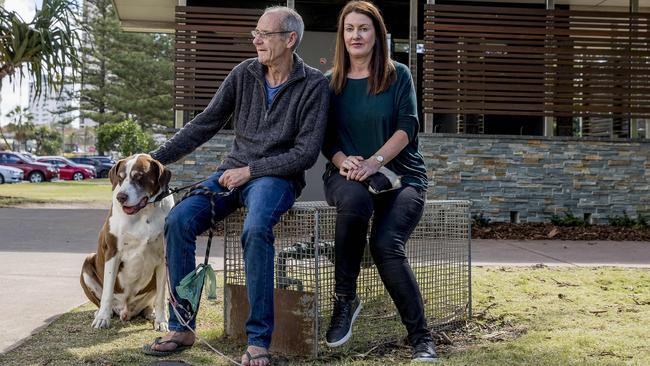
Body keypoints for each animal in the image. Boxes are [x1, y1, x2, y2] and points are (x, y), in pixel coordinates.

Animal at [79, 153, 173, 330]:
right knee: (103, 300)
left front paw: (161, 320)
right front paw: (102, 318)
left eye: (139, 177)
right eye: (120, 178)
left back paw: (150, 312)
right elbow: (107, 291)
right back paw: (103, 312)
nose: (121, 197)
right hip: (88, 262)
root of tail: (126, 311)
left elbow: (161, 297)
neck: (144, 213)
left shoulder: (163, 256)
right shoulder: (113, 252)